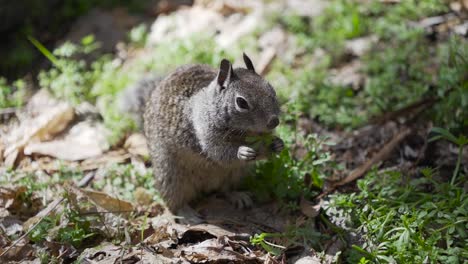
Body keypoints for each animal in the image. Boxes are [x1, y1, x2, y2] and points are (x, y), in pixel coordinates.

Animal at [119, 53, 284, 214]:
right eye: (241, 102)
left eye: (272, 89)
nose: (274, 121)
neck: (241, 132)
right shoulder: (206, 136)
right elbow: (219, 154)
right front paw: (242, 152)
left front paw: (277, 144)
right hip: (170, 176)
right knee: (175, 203)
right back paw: (187, 213)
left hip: (236, 173)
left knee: (225, 189)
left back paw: (237, 195)